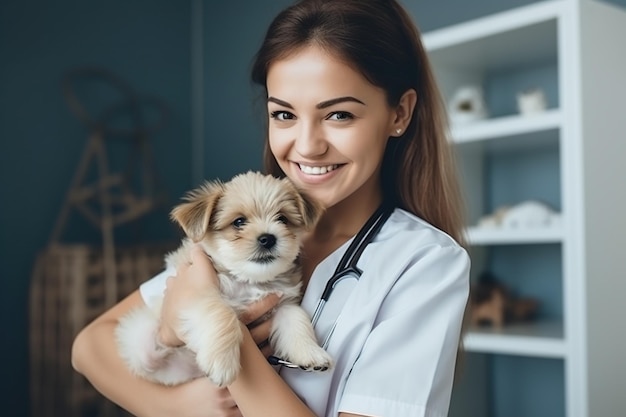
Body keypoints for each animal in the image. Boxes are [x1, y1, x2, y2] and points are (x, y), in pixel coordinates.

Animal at [115, 171, 334, 386]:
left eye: (282, 219)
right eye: (239, 222)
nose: (268, 238)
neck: (249, 280)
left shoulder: (284, 301)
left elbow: (296, 319)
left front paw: (311, 353)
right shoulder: (198, 292)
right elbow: (221, 311)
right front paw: (222, 362)